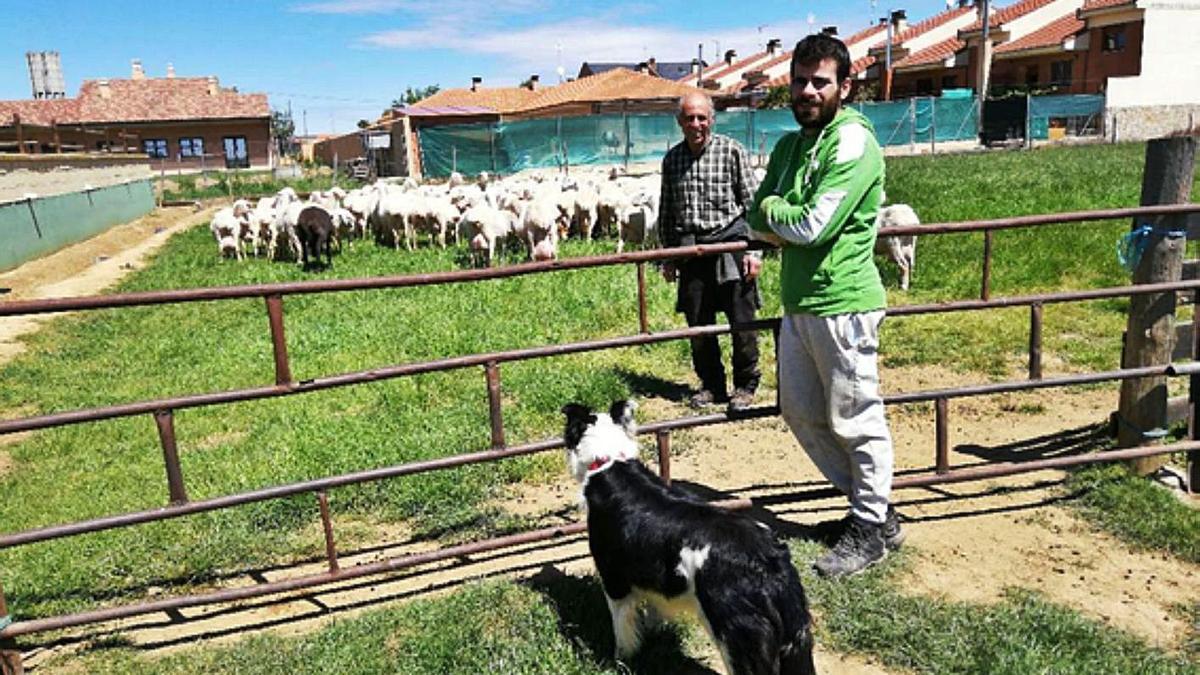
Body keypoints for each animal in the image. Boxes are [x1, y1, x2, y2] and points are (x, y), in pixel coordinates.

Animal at [564, 398, 816, 672]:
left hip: (738, 639)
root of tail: (770, 562)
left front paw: (620, 661)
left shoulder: (614, 578)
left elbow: (622, 629)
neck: (610, 462)